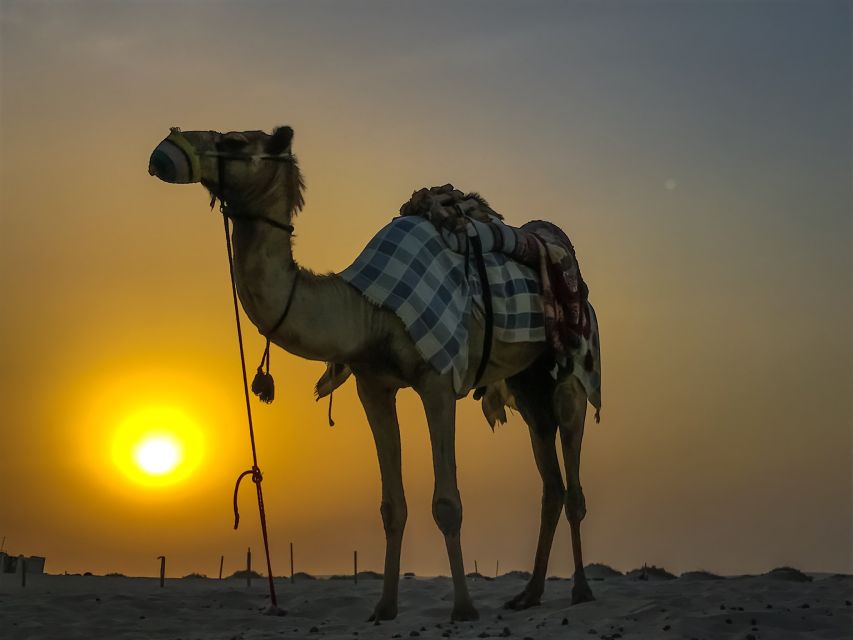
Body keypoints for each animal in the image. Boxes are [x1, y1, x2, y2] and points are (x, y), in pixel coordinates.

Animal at [148, 126, 597, 621]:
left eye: (235, 142)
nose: (165, 150)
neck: (367, 310)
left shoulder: (437, 378)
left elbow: (447, 503)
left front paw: (463, 608)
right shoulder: (373, 386)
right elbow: (391, 506)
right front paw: (384, 607)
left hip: (572, 367)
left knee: (573, 477)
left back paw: (581, 591)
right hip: (528, 382)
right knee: (550, 480)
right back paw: (529, 595)